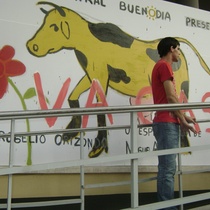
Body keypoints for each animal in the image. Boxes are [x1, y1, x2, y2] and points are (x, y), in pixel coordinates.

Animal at [26, 1, 210, 158]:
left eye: (55, 26)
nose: (31, 46)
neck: (86, 41)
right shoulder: (91, 74)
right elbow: (73, 96)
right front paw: (70, 132)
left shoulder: (101, 74)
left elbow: (101, 107)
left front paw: (98, 147)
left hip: (182, 86)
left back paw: (185, 148)